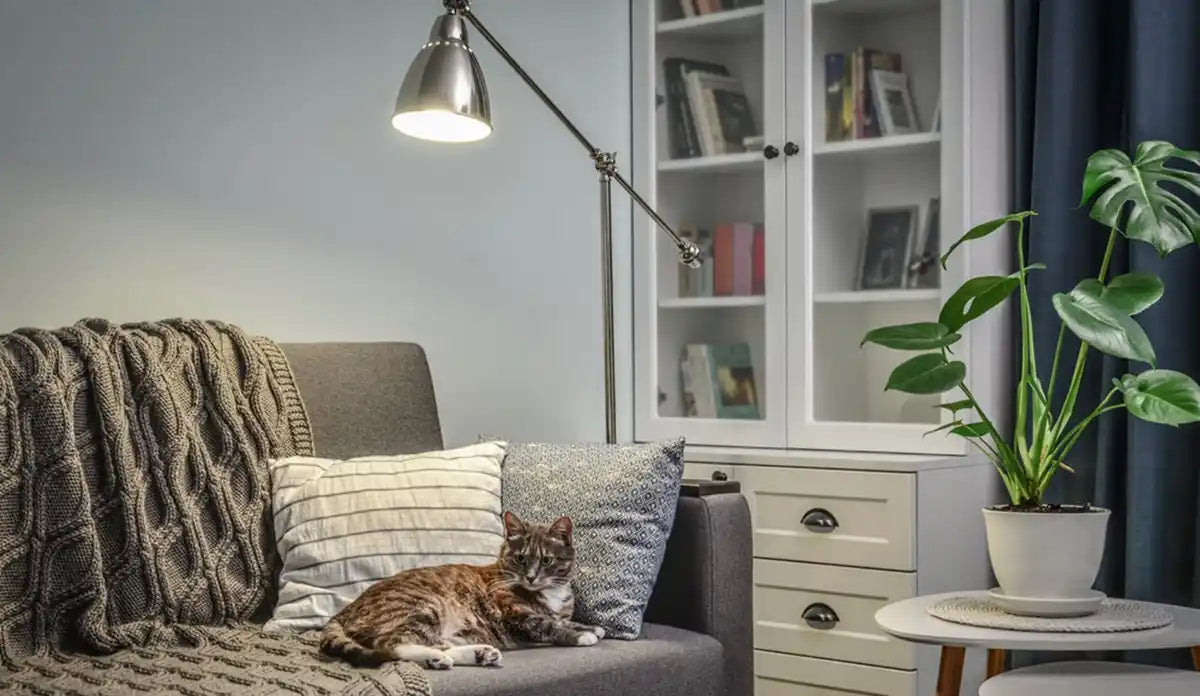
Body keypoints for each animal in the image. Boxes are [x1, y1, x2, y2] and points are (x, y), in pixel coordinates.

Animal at [319, 511, 604, 667]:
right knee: (392, 643)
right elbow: (547, 623)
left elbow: (564, 620)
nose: (531, 578)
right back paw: (440, 657)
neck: (552, 592)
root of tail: (344, 612)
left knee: (435, 643)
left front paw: (591, 627)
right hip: (421, 605)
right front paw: (582, 635)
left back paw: (475, 654)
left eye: (546, 561)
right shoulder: (515, 612)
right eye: (521, 558)